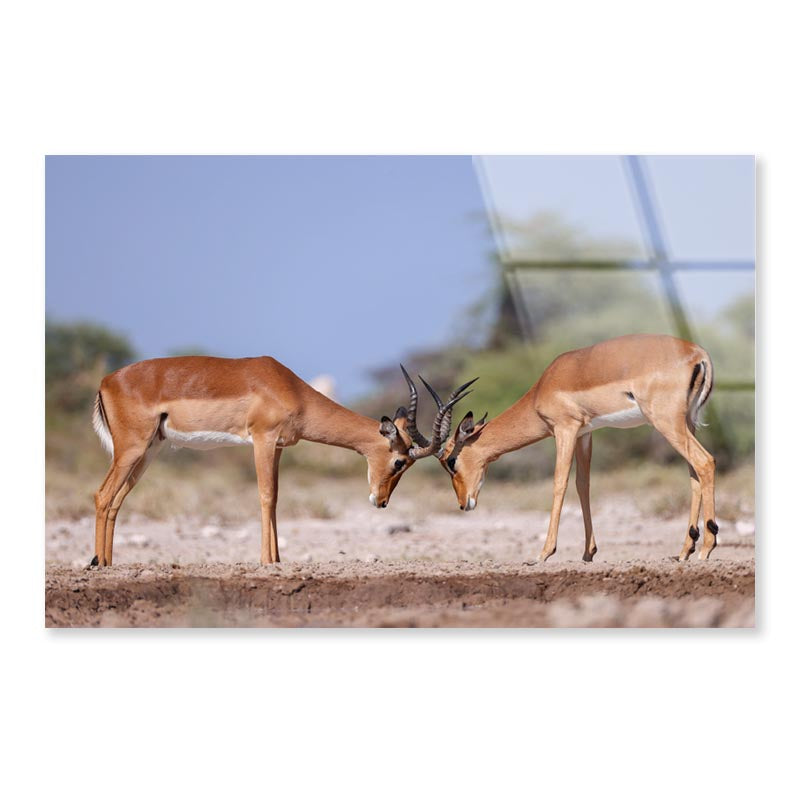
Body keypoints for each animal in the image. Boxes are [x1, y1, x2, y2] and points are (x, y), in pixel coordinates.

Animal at [91, 356, 474, 566]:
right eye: (399, 462)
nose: (379, 502)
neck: (289, 388)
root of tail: (106, 381)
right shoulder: (262, 440)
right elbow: (265, 496)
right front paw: (265, 560)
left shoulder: (277, 447)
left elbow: (276, 500)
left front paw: (277, 559)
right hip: (132, 449)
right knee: (102, 495)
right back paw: (98, 563)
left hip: (148, 452)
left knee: (115, 501)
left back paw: (106, 562)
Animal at [434, 335, 718, 563]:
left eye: (451, 461)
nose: (463, 504)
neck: (544, 387)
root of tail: (697, 353)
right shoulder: (585, 434)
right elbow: (583, 484)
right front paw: (588, 553)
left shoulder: (565, 430)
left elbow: (559, 483)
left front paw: (543, 554)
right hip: (687, 423)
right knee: (694, 474)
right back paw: (685, 551)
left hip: (666, 422)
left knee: (705, 461)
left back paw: (707, 547)